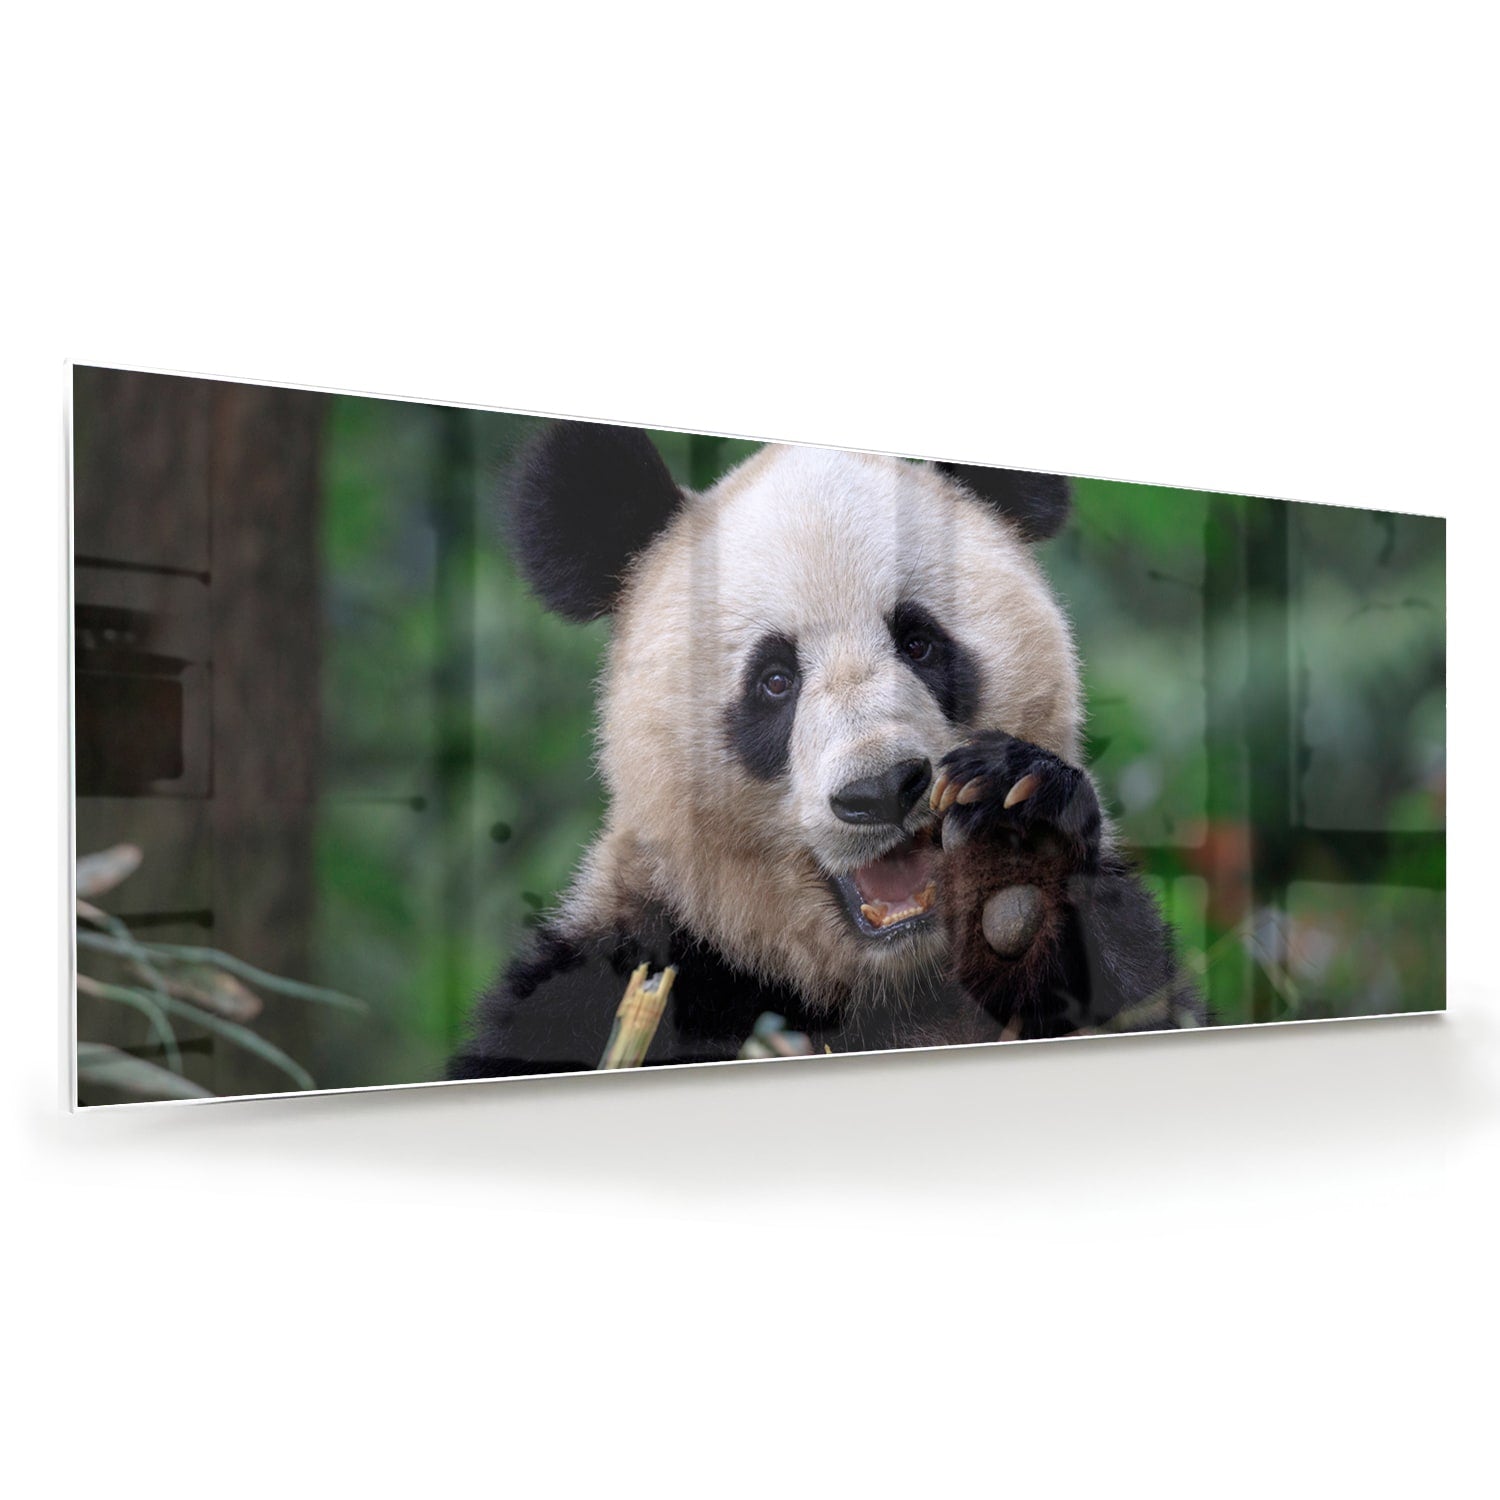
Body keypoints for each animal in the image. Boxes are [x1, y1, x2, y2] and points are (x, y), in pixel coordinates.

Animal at [450, 421, 1205, 1079]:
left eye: (919, 642)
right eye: (774, 680)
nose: (881, 790)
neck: (886, 984)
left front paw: (1019, 847)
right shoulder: (622, 972)